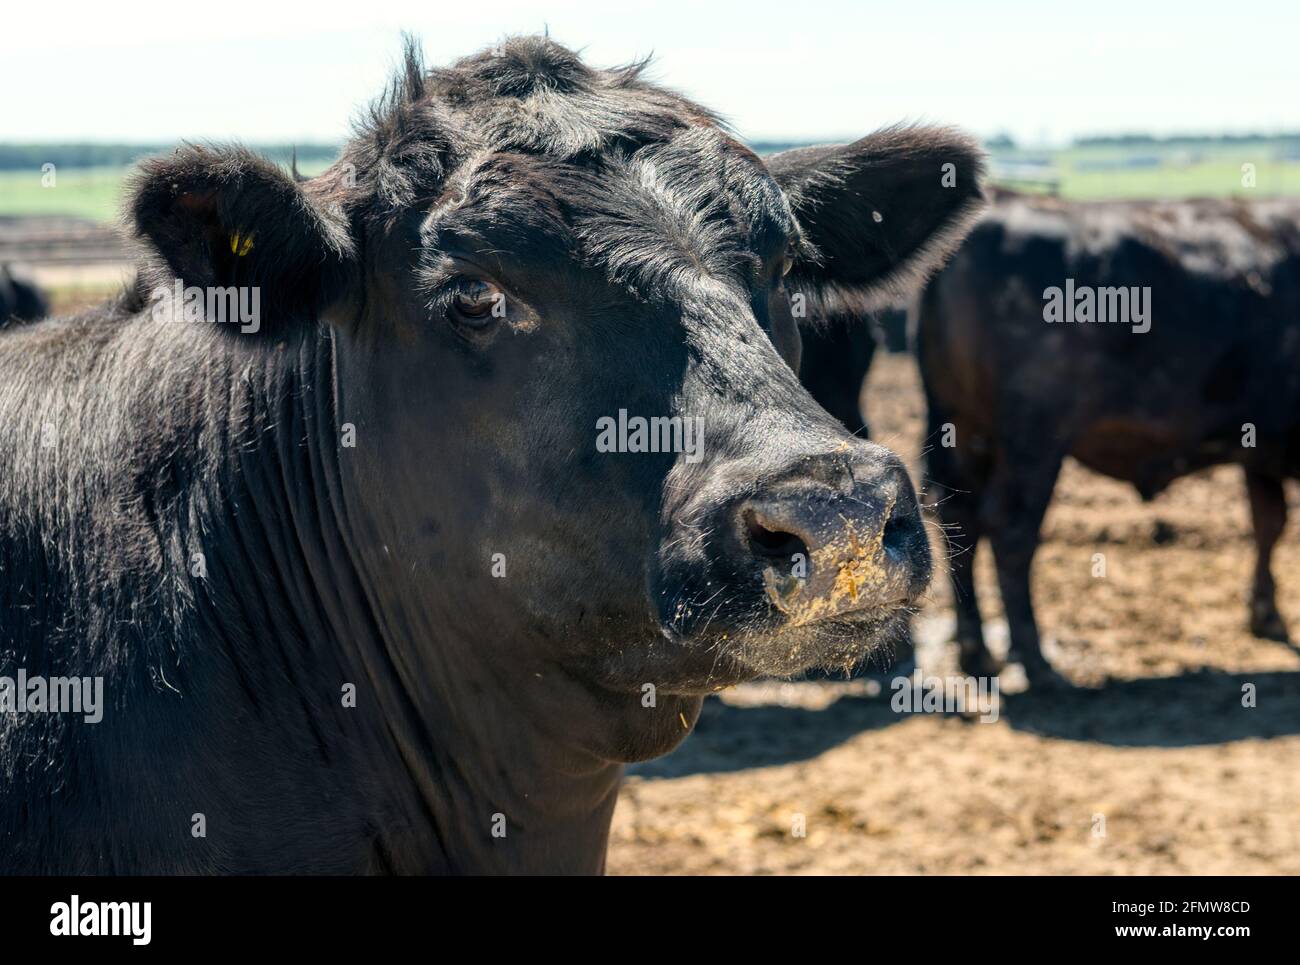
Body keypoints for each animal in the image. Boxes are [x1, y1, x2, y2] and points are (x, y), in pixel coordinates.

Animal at [915, 191, 1300, 686]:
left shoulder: (1261, 450)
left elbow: (1268, 522)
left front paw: (1265, 615)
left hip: (964, 431)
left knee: (961, 521)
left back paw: (977, 653)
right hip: (1034, 443)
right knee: (1011, 530)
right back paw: (1037, 662)